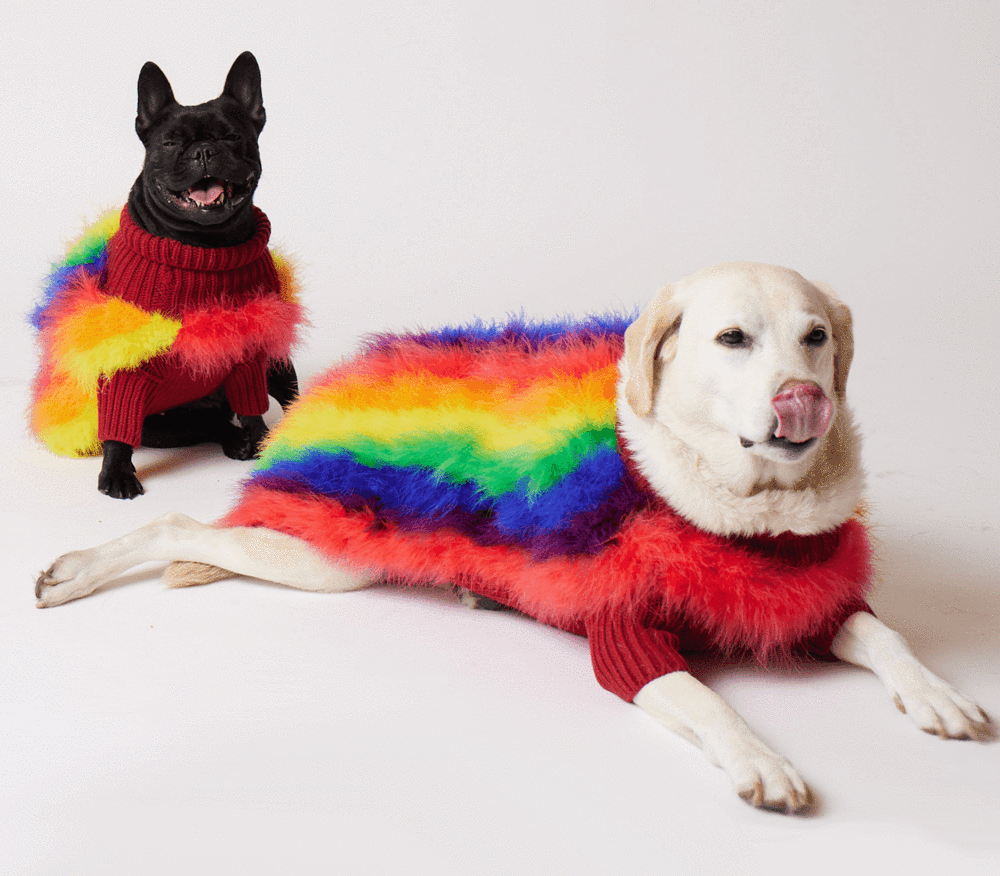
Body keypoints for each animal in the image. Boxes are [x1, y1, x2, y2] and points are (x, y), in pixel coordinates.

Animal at [35, 262, 988, 816]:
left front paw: (937, 695)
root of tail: (337, 377)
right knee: (180, 525)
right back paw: (76, 570)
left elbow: (887, 635)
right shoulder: (627, 638)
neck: (739, 507)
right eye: (732, 339)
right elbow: (710, 701)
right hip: (326, 558)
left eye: (815, 336)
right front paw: (761, 758)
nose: (804, 399)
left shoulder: (806, 592)